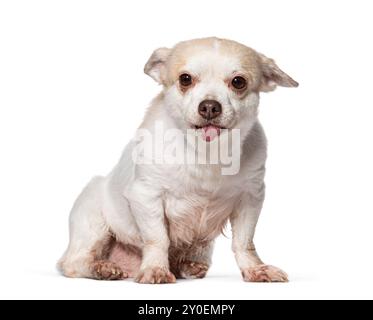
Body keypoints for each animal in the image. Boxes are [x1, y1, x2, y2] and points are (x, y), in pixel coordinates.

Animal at [58, 37, 296, 282]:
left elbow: (244, 242)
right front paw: (155, 268)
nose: (209, 106)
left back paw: (187, 266)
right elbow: (158, 239)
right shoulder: (146, 195)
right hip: (93, 220)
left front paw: (255, 269)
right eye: (185, 79)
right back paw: (102, 268)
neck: (206, 153)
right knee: (73, 263)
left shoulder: (250, 198)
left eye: (238, 82)